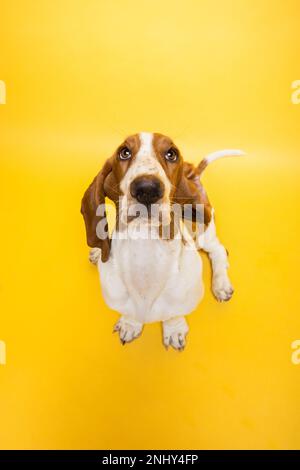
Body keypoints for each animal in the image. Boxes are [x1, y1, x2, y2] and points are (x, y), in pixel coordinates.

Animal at [80, 132, 244, 348]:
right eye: (124, 152)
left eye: (171, 154)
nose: (147, 189)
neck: (145, 245)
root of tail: (193, 172)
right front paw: (130, 324)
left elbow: (173, 314)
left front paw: (174, 330)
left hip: (201, 229)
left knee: (218, 250)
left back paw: (221, 285)